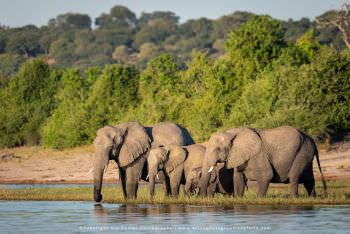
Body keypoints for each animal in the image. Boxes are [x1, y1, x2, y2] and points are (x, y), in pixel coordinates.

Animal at [200, 126, 328, 197]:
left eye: (217, 149)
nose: (203, 197)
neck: (233, 132)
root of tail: (312, 140)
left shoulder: (258, 154)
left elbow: (266, 175)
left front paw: (259, 199)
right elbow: (238, 179)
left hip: (302, 153)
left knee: (294, 177)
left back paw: (294, 198)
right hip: (306, 155)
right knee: (309, 181)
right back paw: (312, 198)